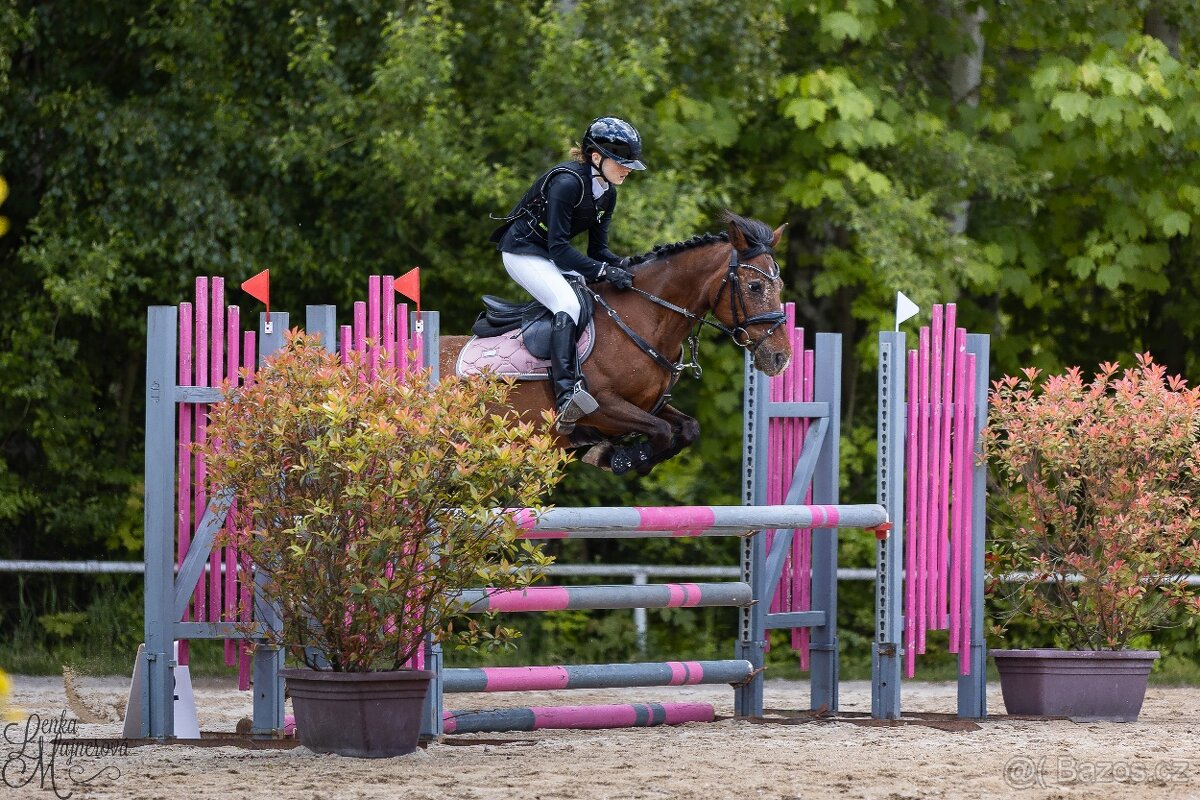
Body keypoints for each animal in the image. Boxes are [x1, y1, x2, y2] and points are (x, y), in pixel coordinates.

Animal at [440, 213, 792, 476]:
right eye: (755, 286)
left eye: (780, 285)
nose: (781, 358)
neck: (645, 319)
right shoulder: (603, 406)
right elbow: (661, 432)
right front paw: (622, 458)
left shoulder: (651, 404)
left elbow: (689, 428)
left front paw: (617, 456)